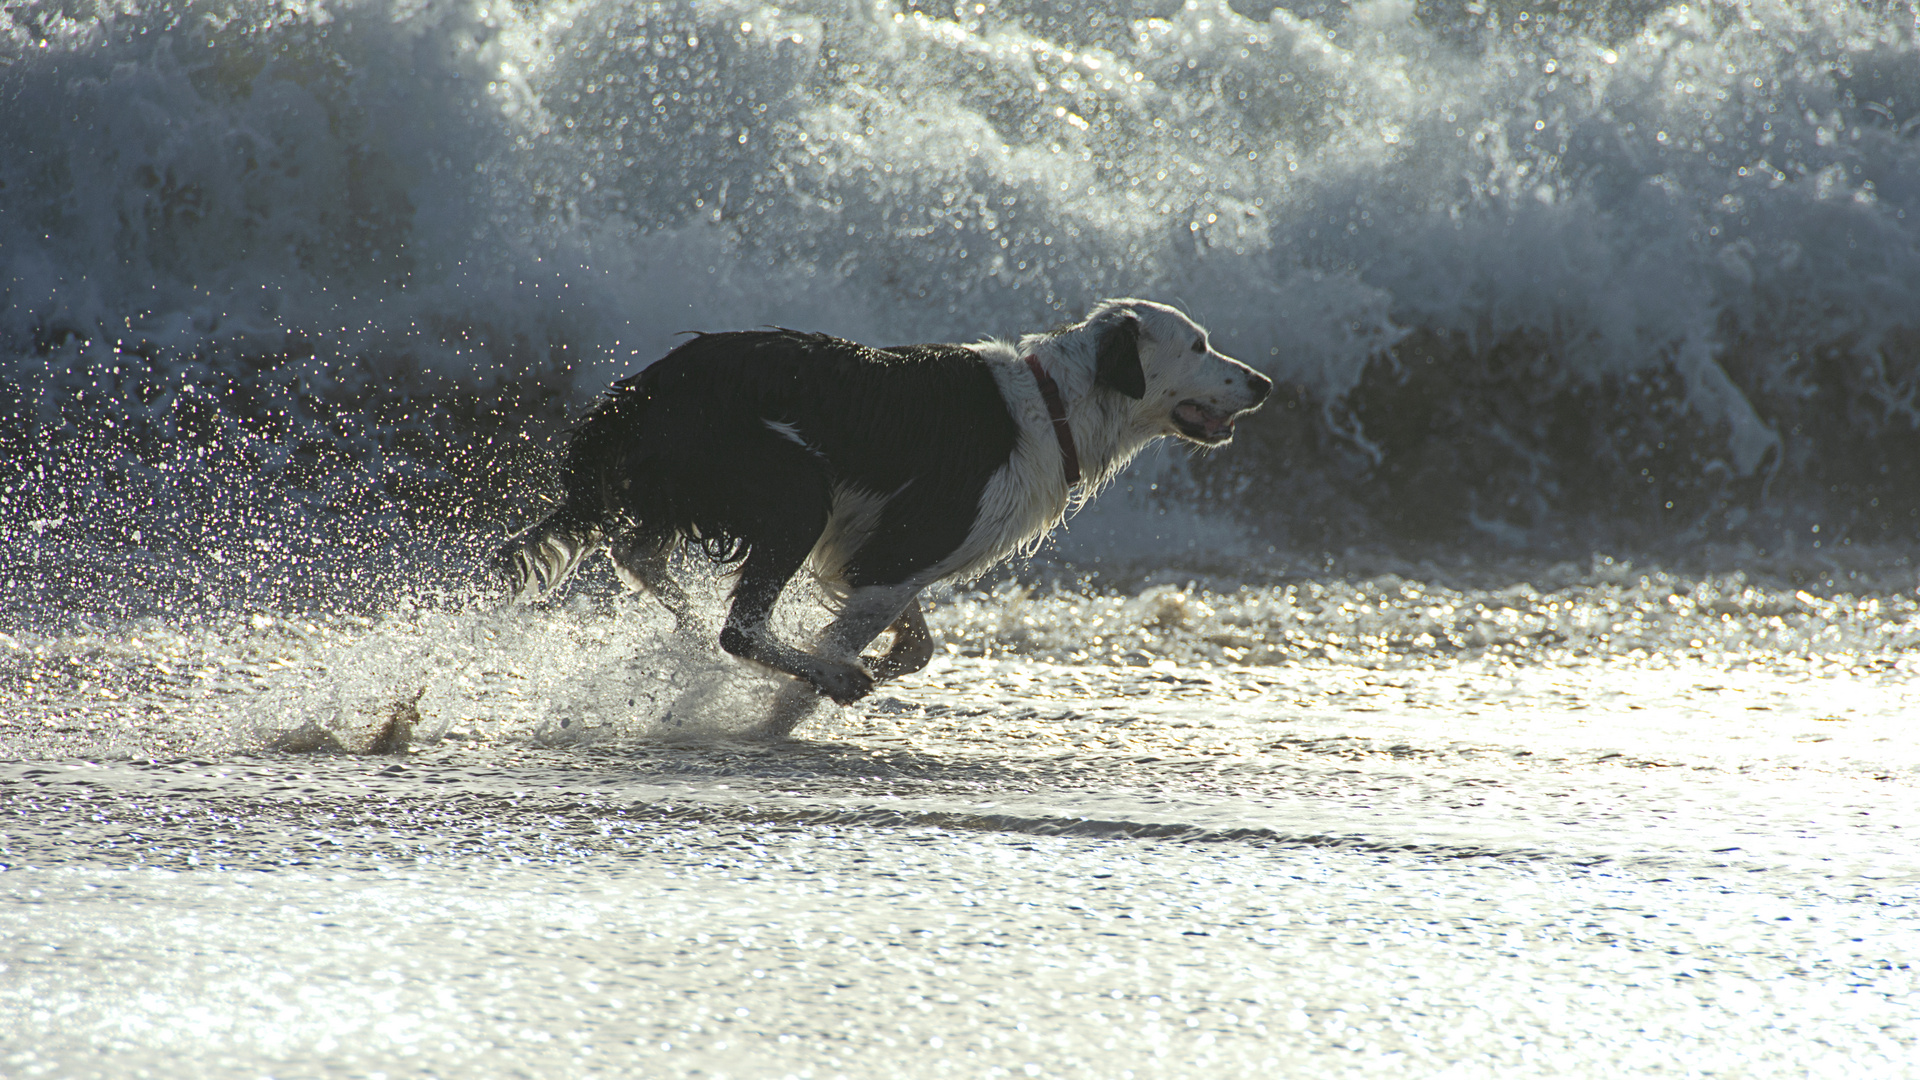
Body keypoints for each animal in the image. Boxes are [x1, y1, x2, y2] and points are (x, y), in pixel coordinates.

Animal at [503, 297, 1267, 726]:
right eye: (1199, 346)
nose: (1263, 382)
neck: (1053, 406)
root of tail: (644, 388)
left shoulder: (892, 557)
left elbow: (918, 645)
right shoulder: (904, 547)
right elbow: (848, 646)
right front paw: (792, 708)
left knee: (640, 556)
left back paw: (689, 630)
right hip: (790, 484)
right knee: (739, 627)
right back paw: (807, 671)